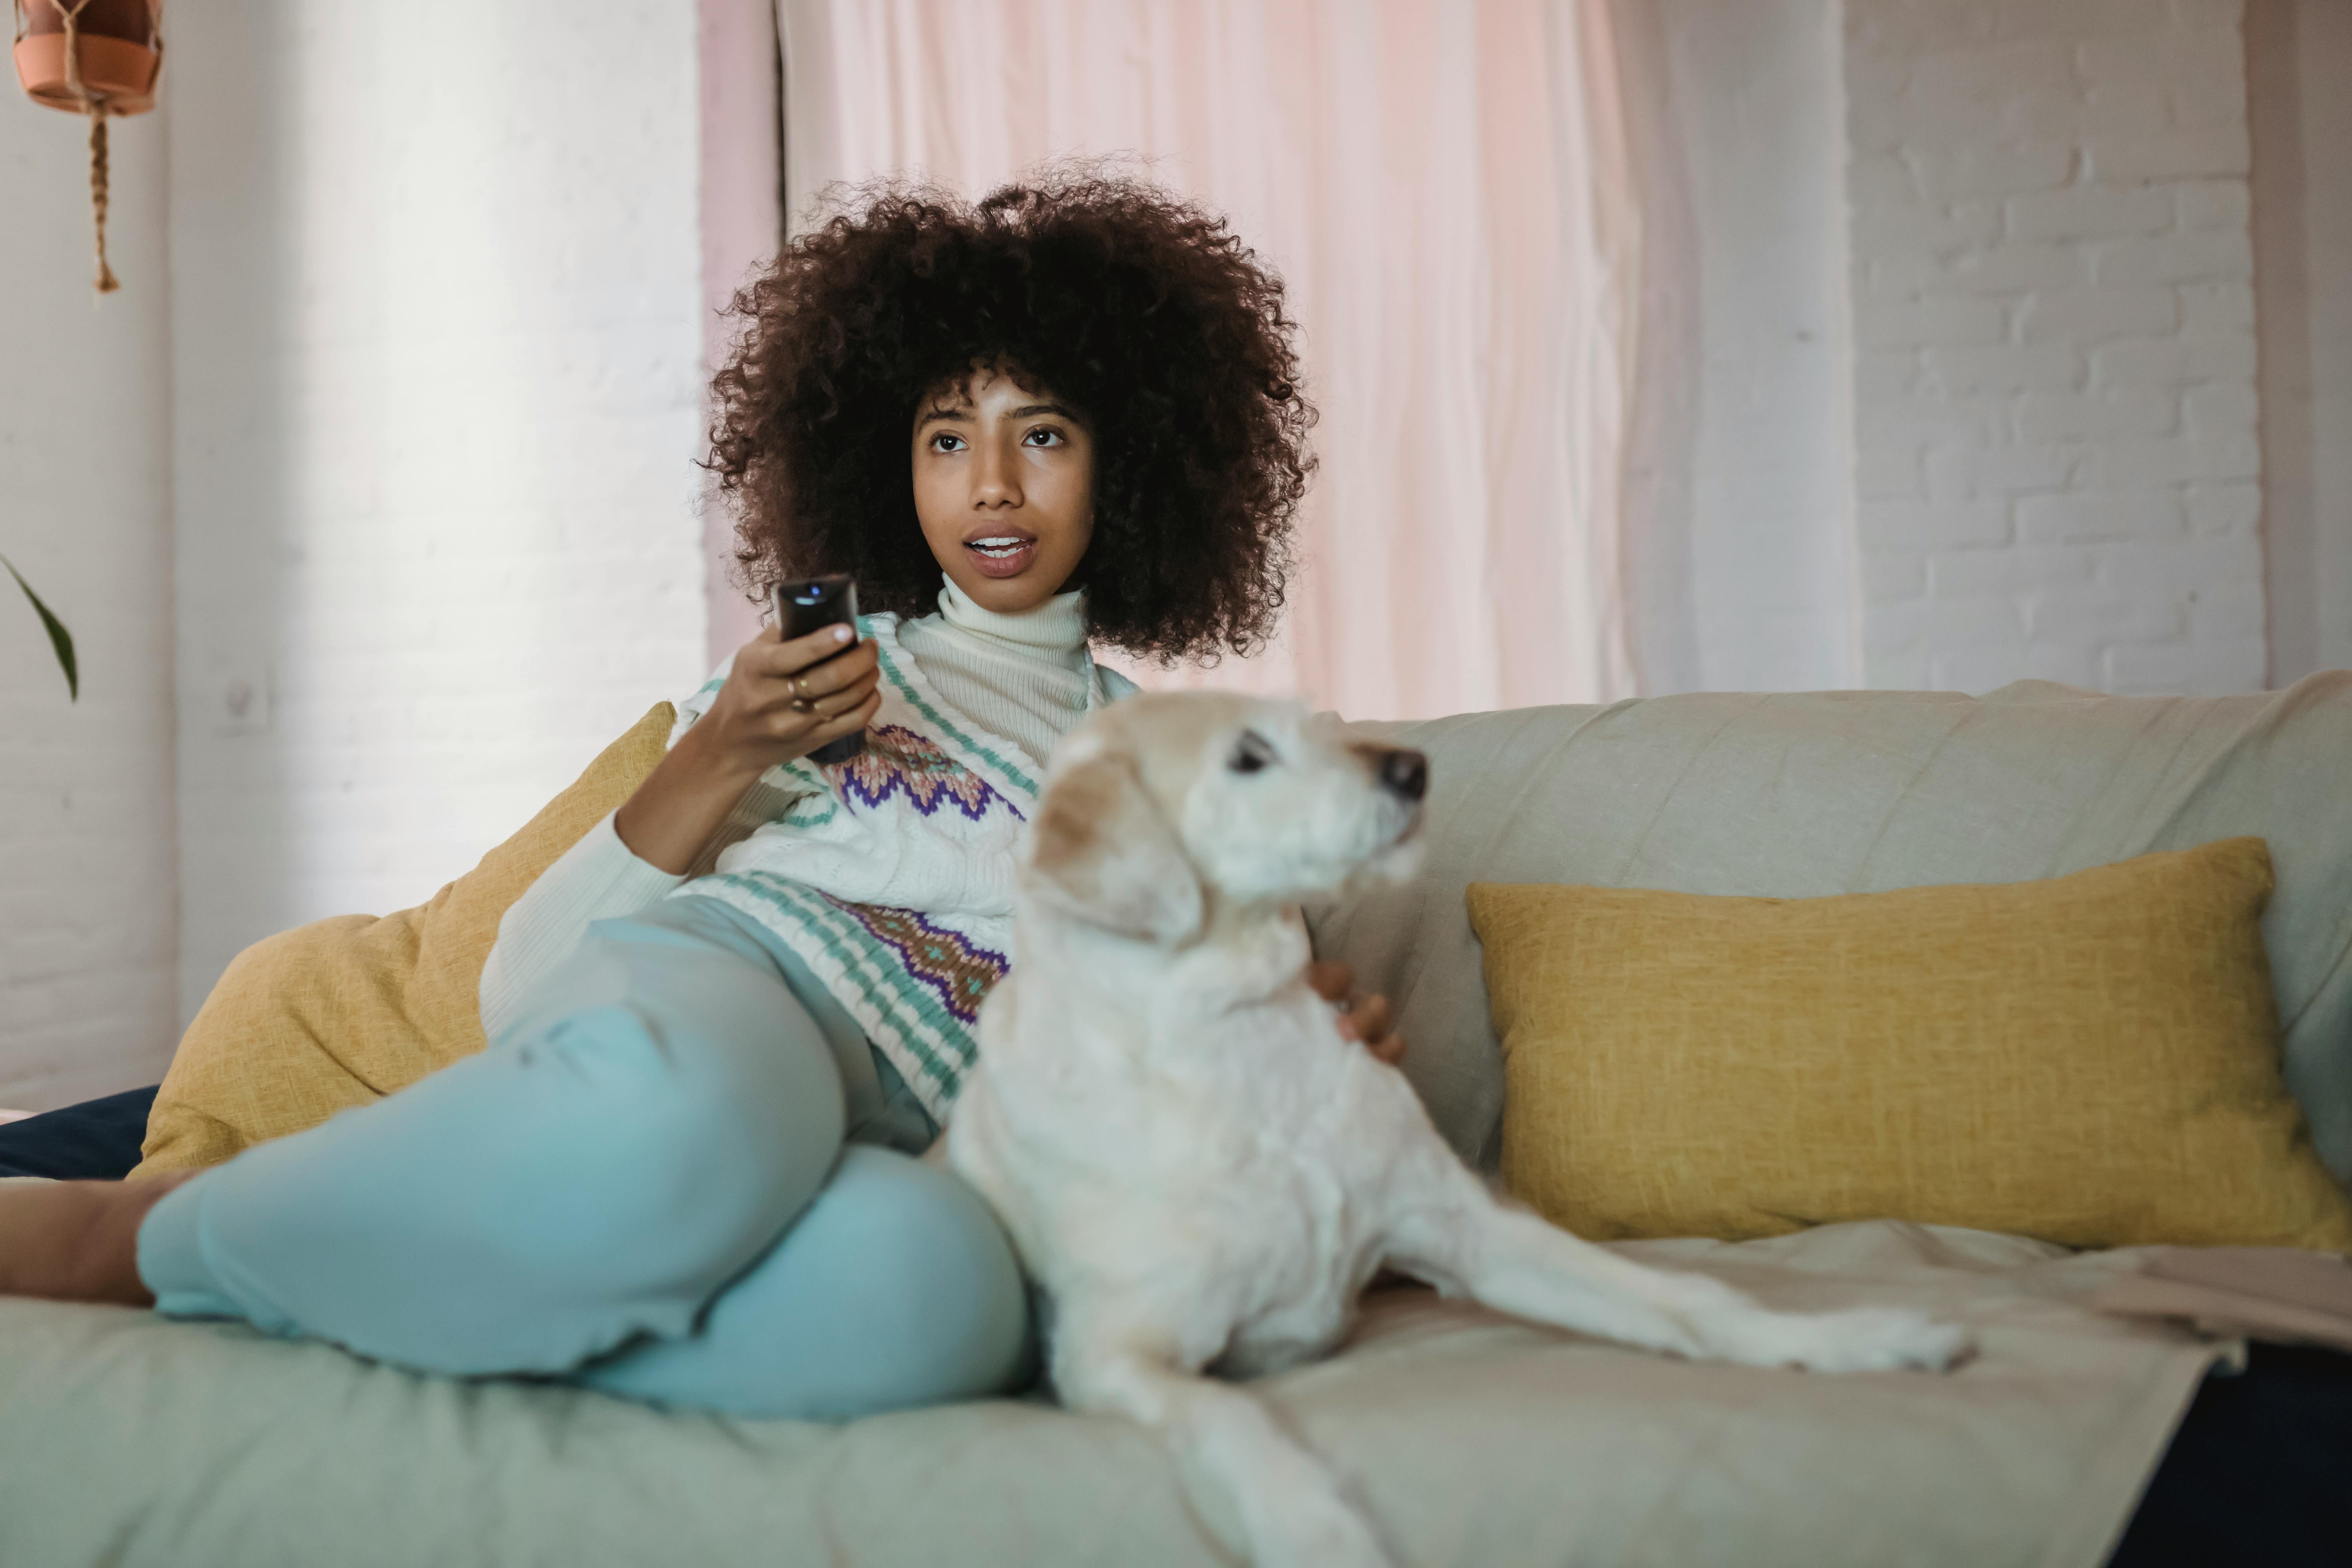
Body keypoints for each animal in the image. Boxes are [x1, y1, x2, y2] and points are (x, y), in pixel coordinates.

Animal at [946, 701, 1976, 1568]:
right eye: (1247, 755)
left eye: (1316, 723)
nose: (1412, 766)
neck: (1239, 1040)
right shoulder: (1114, 1354)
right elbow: (1231, 1421)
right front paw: (1315, 1526)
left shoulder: (1474, 1232)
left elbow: (1688, 1300)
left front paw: (1850, 1339)